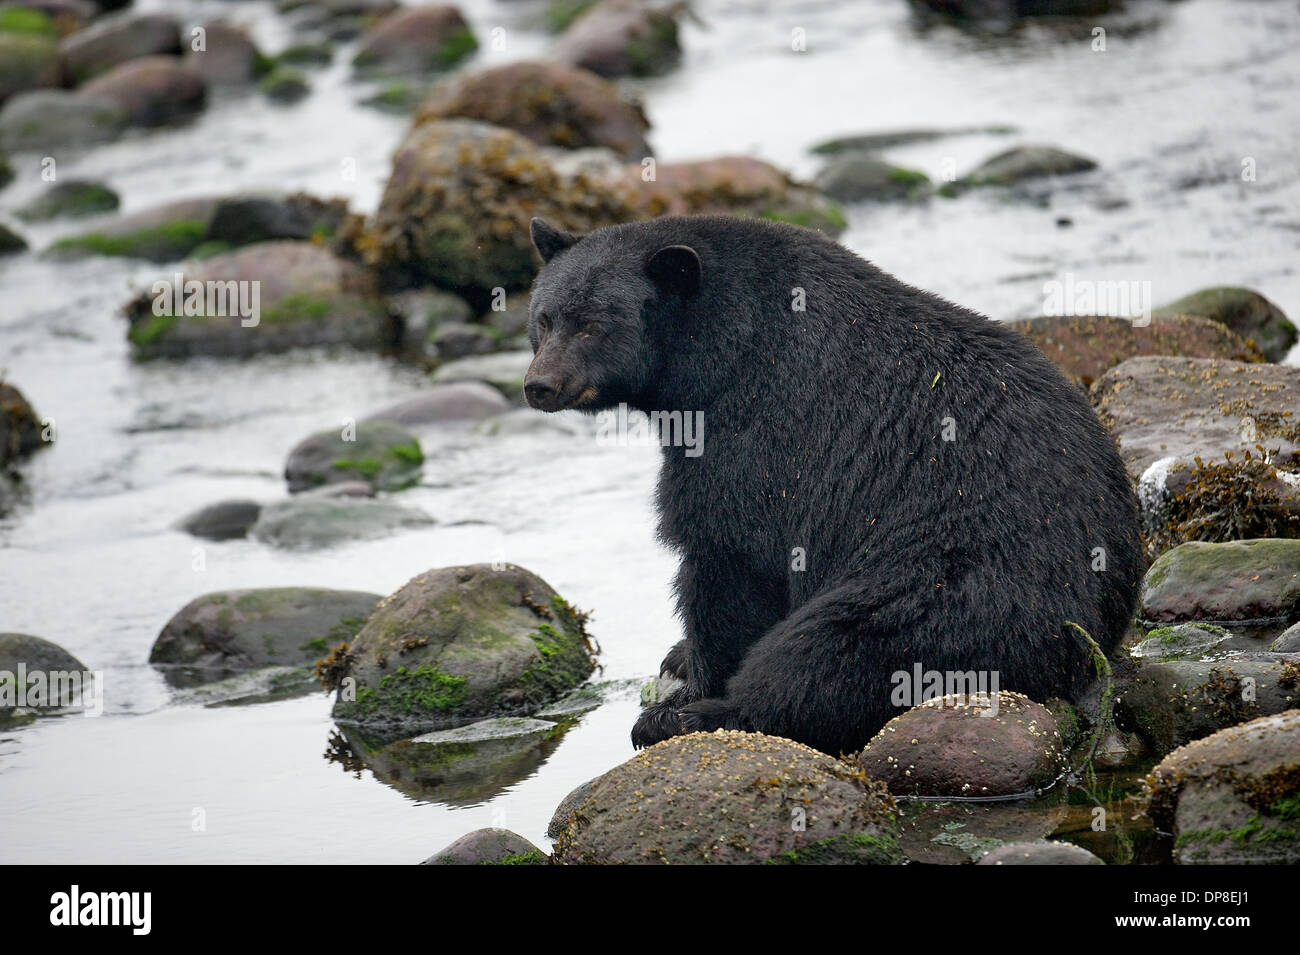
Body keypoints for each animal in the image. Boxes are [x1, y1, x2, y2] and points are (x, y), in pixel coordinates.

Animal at [524, 214, 1143, 756]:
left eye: (593, 322)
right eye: (544, 318)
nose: (539, 385)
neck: (720, 346)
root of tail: (1091, 640)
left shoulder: (753, 431)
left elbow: (729, 559)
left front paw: (689, 688)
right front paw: (678, 657)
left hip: (946, 590)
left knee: (828, 653)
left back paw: (690, 719)